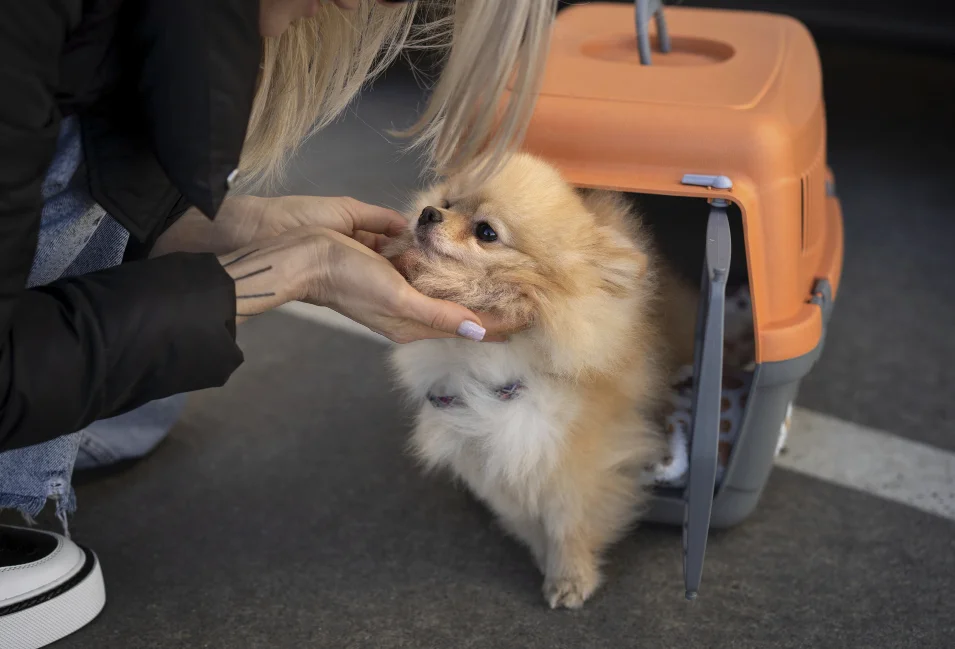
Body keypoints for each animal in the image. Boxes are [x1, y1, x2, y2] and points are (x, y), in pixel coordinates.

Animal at [384, 152, 692, 608]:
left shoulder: (576, 453)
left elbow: (568, 521)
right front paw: (544, 556)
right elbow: (523, 513)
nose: (428, 213)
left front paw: (570, 576)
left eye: (486, 232)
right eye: (448, 202)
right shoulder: (485, 449)